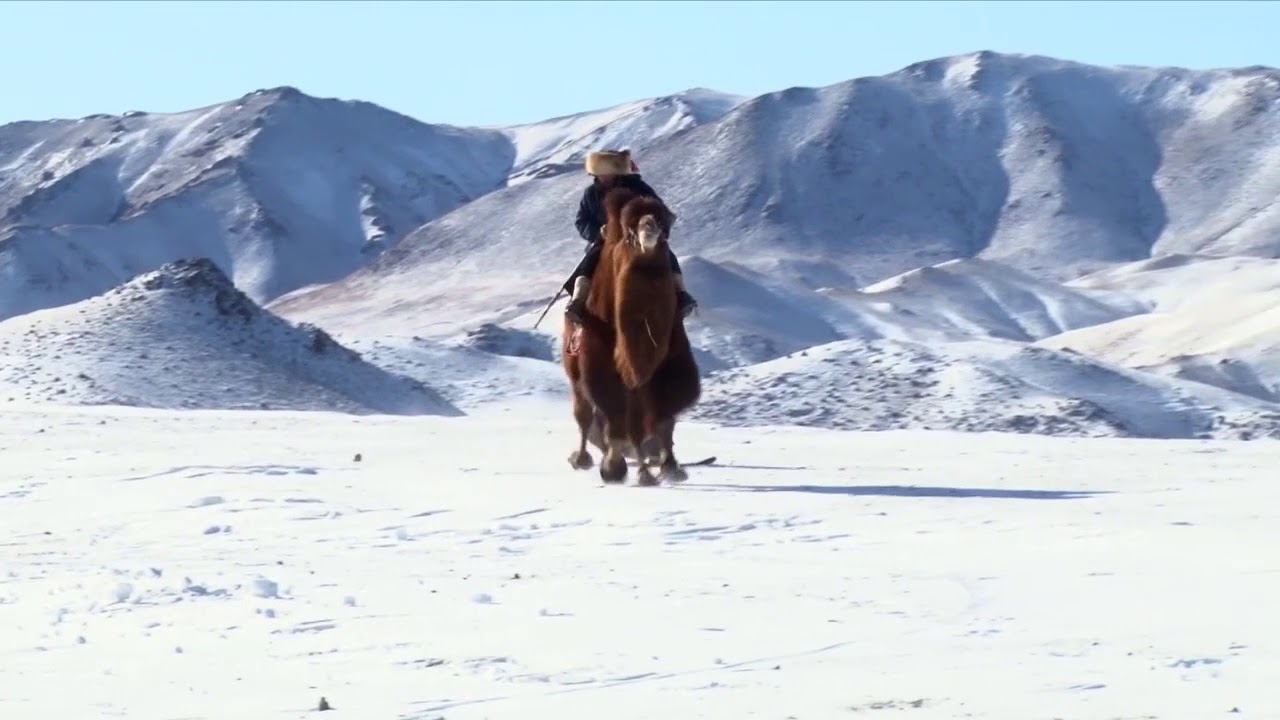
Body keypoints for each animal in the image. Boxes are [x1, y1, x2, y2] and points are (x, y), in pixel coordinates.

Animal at [560, 187, 701, 486]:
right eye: (629, 233)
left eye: (661, 222)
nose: (649, 227)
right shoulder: (601, 364)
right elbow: (615, 412)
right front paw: (616, 468)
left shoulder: (668, 363)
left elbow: (664, 416)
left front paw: (670, 467)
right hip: (575, 373)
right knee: (585, 415)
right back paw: (582, 459)